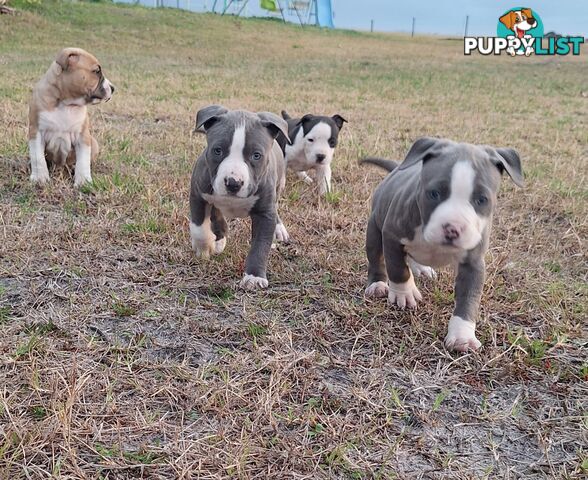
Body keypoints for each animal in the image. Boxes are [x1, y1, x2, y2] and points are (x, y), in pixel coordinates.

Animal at [28, 46, 115, 186]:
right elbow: (37, 157)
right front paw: (40, 178)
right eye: (96, 71)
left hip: (94, 142)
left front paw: (83, 181)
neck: (66, 104)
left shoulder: (83, 136)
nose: (113, 88)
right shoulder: (36, 132)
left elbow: (83, 160)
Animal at [189, 106, 290, 288]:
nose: (233, 183)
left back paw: (279, 230)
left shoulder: (265, 213)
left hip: (279, 186)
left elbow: (260, 245)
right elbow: (199, 228)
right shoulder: (198, 195)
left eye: (256, 155)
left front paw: (254, 277)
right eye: (217, 150)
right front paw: (205, 248)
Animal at [362, 138, 524, 352]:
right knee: (377, 258)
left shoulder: (473, 262)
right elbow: (398, 268)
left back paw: (421, 269)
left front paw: (462, 336)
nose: (452, 229)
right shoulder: (391, 235)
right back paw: (378, 285)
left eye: (482, 199)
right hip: (374, 228)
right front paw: (405, 293)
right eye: (434, 193)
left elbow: (469, 298)